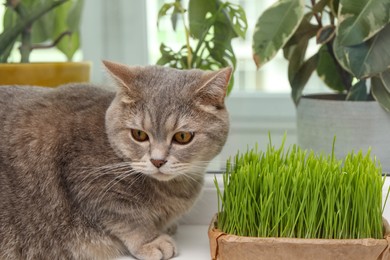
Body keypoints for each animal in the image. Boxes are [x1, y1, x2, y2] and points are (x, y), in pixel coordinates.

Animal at [0, 61, 232, 260]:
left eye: (182, 137)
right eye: (139, 134)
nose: (157, 161)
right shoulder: (91, 184)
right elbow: (128, 219)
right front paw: (151, 240)